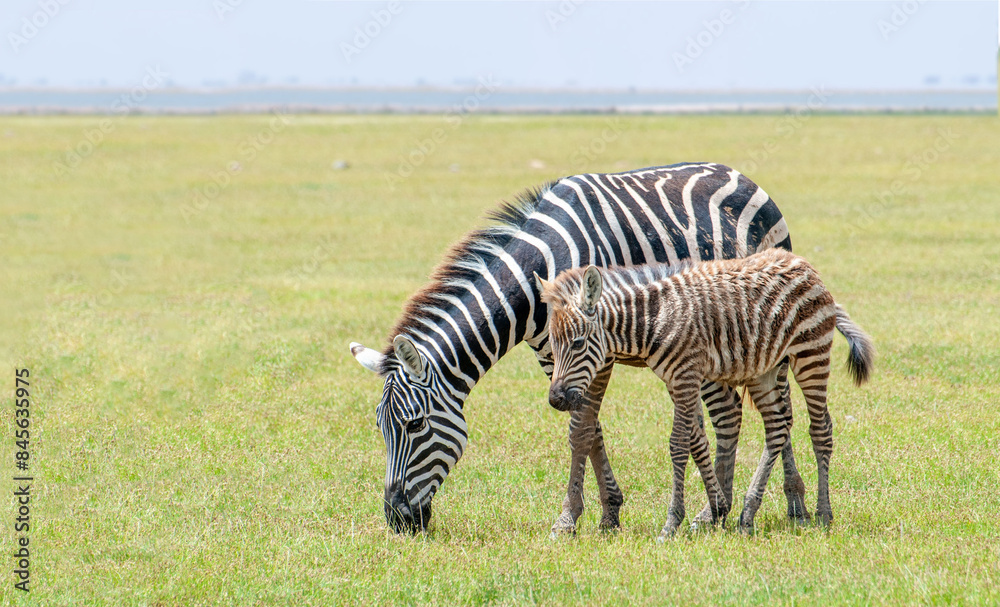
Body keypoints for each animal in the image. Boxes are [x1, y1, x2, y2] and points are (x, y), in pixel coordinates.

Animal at [349, 162, 807, 534]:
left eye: (414, 425)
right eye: (381, 427)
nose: (397, 520)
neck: (538, 274)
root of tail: (739, 174)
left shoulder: (595, 350)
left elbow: (581, 429)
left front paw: (568, 519)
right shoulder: (552, 355)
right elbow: (591, 427)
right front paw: (609, 511)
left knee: (769, 408)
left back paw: (785, 504)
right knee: (734, 410)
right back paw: (722, 509)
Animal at [540, 249, 875, 537]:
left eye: (578, 344)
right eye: (552, 346)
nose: (556, 400)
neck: (655, 320)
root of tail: (800, 262)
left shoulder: (686, 375)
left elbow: (678, 445)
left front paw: (672, 523)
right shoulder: (677, 379)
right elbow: (697, 441)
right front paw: (716, 510)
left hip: (811, 355)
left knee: (820, 429)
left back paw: (822, 514)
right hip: (764, 368)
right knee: (777, 428)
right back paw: (748, 514)